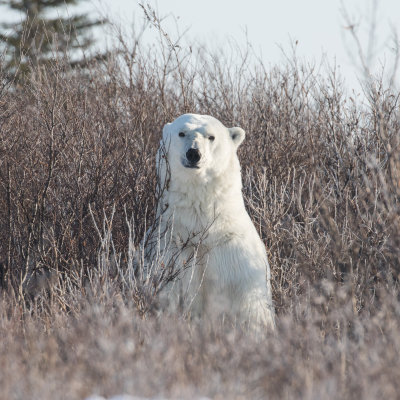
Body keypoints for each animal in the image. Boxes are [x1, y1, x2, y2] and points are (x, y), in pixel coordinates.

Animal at [150, 114, 276, 330]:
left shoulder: (236, 257)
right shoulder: (171, 249)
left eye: (211, 136)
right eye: (181, 133)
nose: (193, 153)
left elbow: (250, 308)